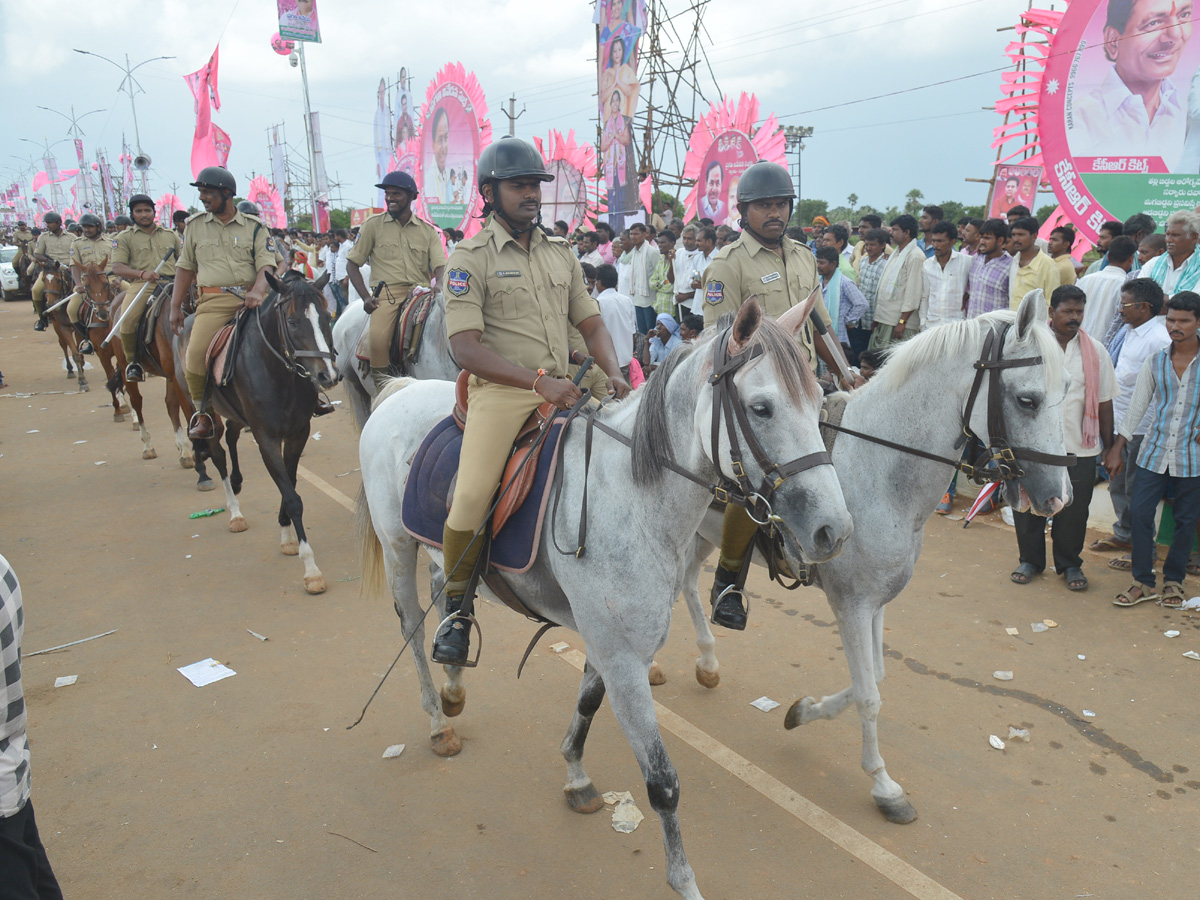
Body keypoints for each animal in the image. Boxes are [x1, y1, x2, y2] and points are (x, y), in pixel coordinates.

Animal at [355, 297, 854, 900]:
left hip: (441, 555)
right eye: (761, 408)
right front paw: (684, 881)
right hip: (399, 544)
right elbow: (662, 783)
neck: (633, 500)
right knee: (409, 624)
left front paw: (575, 775)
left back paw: (453, 677)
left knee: (446, 592)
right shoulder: (623, 660)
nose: (834, 530)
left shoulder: (611, 646)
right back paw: (436, 718)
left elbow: (587, 706)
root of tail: (402, 389)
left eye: (818, 401)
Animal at [676, 292, 1070, 830]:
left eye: (1067, 389)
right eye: (1027, 399)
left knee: (687, 583)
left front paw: (803, 711)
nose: (1059, 499)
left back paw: (707, 662)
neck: (882, 474)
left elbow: (875, 678)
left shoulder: (878, 602)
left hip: (700, 534)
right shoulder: (852, 605)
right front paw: (884, 786)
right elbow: (868, 694)